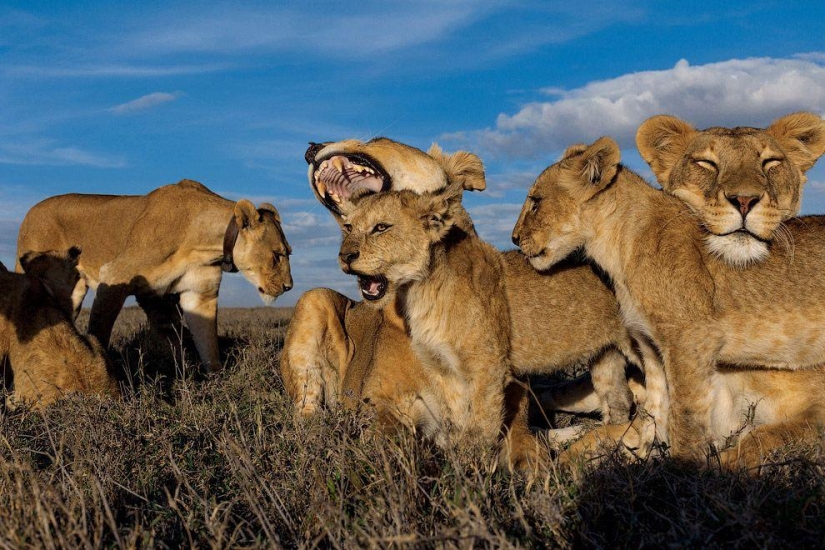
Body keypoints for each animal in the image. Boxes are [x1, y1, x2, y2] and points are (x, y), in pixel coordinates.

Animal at [16, 179, 293, 372]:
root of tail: (30, 211)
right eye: (277, 255)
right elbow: (100, 330)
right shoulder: (114, 276)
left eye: (288, 252)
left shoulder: (199, 294)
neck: (203, 244)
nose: (289, 286)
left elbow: (208, 344)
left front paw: (217, 380)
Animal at [282, 138, 641, 469]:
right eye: (349, 228)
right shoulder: (379, 404)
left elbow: (523, 445)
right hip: (313, 299)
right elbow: (392, 444)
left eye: (376, 140)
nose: (311, 147)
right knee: (306, 414)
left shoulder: (503, 390)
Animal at [512, 135, 825, 464]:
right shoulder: (649, 344)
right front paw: (646, 458)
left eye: (535, 201)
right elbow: (655, 411)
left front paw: (686, 467)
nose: (514, 238)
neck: (617, 247)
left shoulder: (691, 341)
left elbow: (686, 415)